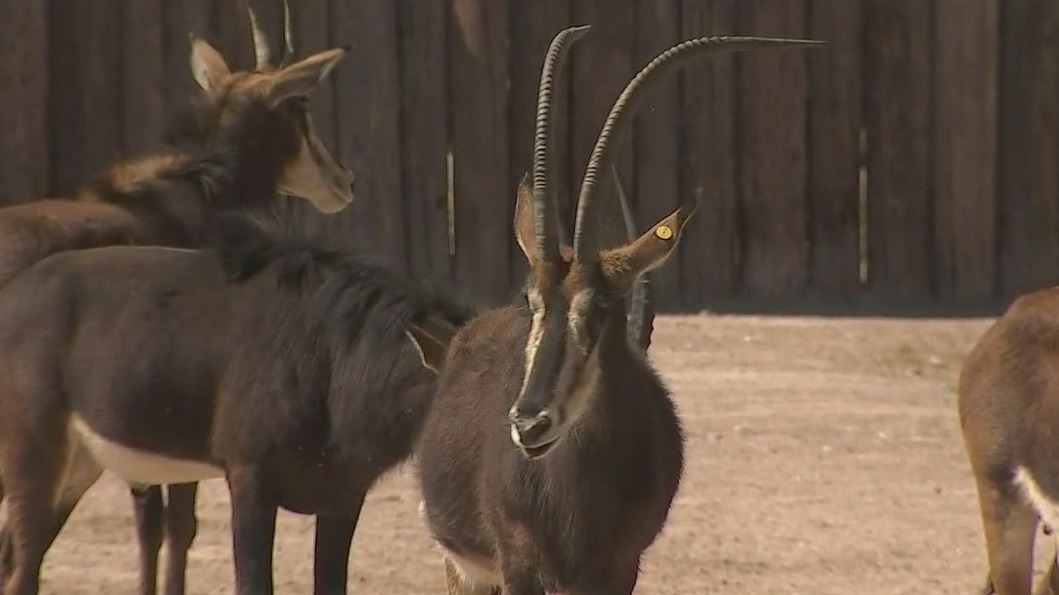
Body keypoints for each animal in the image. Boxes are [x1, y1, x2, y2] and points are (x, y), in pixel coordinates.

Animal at [405, 27, 824, 595]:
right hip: (465, 569)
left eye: (602, 303)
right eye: (530, 300)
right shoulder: (517, 563)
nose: (530, 424)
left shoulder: (620, 565)